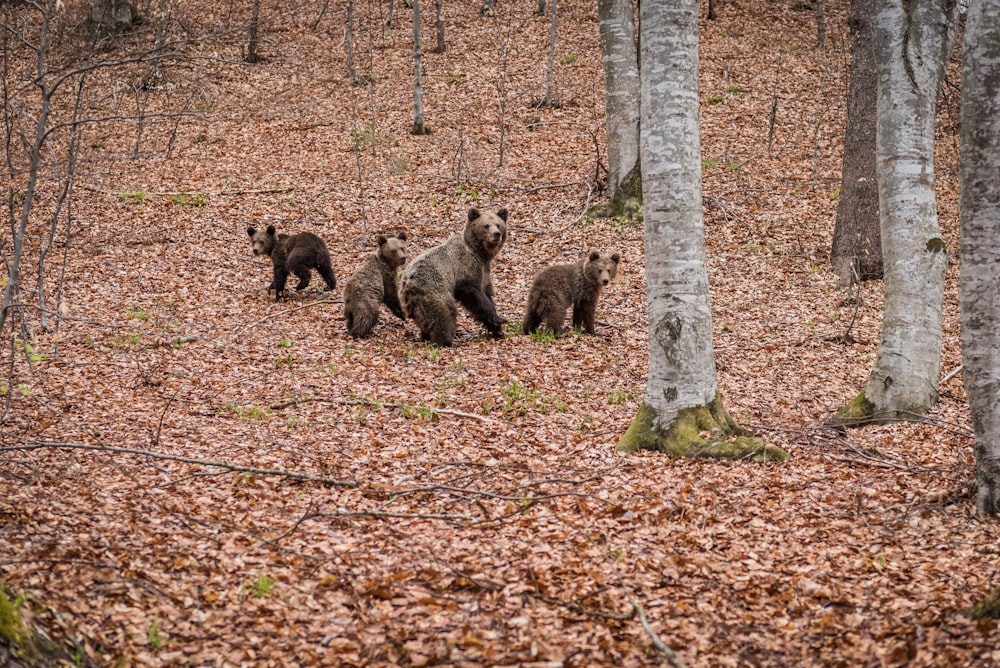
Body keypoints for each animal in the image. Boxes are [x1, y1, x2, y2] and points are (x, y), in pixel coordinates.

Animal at [398, 206, 508, 348]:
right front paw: (498, 320)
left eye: (498, 224)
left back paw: (425, 335)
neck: (480, 254)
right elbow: (473, 293)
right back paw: (444, 340)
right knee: (445, 312)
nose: (496, 234)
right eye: (486, 225)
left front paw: (497, 330)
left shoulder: (485, 272)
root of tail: (406, 283)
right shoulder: (466, 267)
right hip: (432, 289)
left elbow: (486, 295)